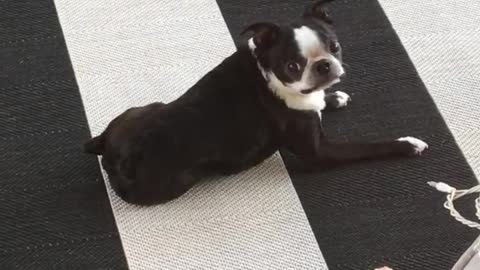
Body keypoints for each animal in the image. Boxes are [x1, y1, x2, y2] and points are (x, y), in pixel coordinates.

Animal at [83, 1, 428, 206]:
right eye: (292, 66)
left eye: (335, 46)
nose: (324, 66)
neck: (268, 75)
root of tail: (108, 151)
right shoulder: (319, 152)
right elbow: (367, 148)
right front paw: (407, 144)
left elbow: (318, 101)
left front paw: (332, 98)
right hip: (178, 181)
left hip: (146, 107)